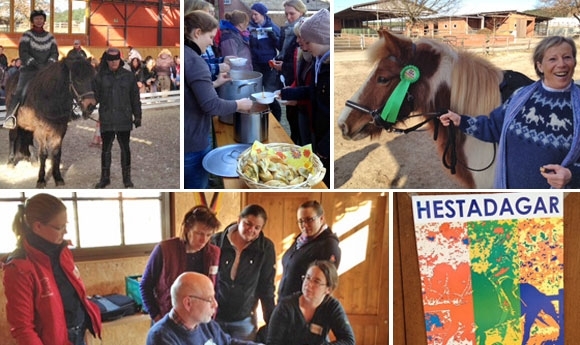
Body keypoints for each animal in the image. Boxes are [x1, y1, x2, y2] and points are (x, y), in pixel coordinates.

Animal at [5, 58, 96, 188]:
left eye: (92, 79)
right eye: (78, 80)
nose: (91, 106)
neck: (49, 98)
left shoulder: (60, 130)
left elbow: (56, 153)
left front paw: (58, 177)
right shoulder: (41, 131)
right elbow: (43, 154)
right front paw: (41, 180)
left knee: (28, 138)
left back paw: (33, 160)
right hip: (15, 123)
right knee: (12, 138)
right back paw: (10, 162)